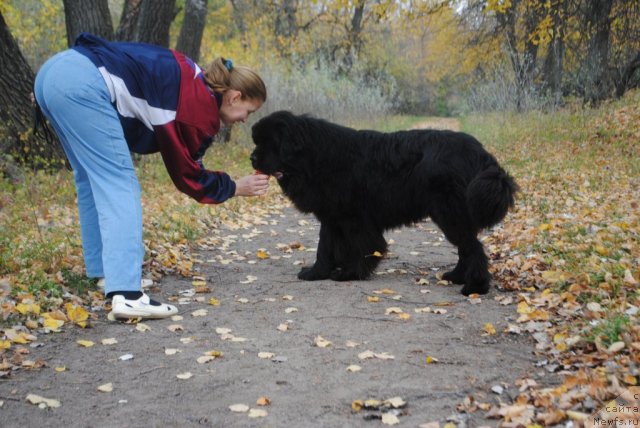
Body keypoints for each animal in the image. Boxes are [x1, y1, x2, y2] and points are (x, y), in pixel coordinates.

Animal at [248, 112, 516, 296]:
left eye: (269, 143)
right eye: (257, 142)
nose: (251, 158)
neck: (316, 157)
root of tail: (480, 152)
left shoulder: (354, 218)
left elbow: (364, 247)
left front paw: (349, 274)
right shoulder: (333, 216)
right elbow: (325, 247)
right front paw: (317, 273)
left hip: (449, 212)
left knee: (472, 247)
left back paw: (475, 287)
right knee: (465, 247)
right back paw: (456, 276)